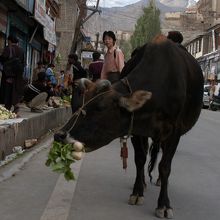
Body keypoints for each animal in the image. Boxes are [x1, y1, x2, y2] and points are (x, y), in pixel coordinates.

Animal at [54, 40, 203, 218]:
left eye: (100, 108)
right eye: (82, 103)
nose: (60, 134)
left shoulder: (174, 132)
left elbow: (165, 166)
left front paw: (164, 204)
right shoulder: (136, 130)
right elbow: (140, 159)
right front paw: (137, 192)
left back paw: (159, 181)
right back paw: (143, 183)